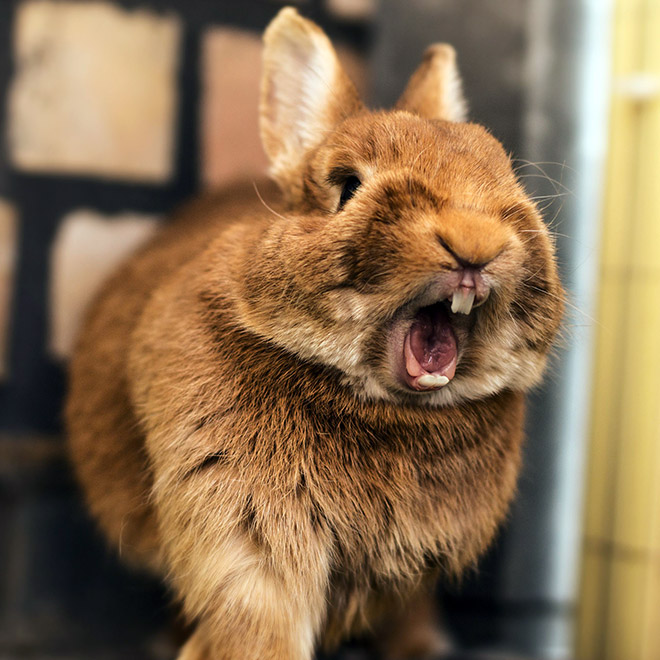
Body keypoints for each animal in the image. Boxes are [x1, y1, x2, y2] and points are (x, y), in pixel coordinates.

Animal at [65, 6, 564, 660]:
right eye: (346, 185)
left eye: (504, 173)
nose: (475, 241)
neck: (389, 413)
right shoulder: (249, 534)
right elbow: (256, 621)